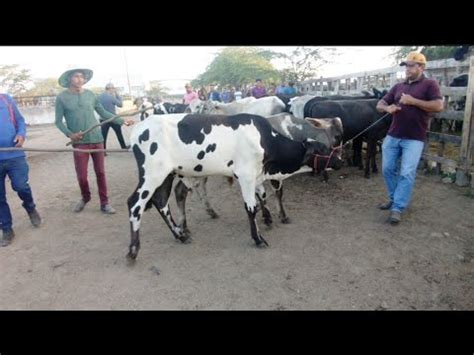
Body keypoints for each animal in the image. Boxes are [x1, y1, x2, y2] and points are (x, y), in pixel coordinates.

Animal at [125, 114, 340, 262]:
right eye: (324, 149)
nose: (340, 161)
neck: (264, 139)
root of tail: (139, 126)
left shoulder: (256, 175)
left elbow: (262, 196)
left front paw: (268, 219)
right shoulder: (245, 175)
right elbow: (251, 208)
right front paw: (258, 238)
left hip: (167, 175)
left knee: (161, 201)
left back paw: (181, 235)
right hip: (152, 174)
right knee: (135, 204)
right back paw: (133, 250)